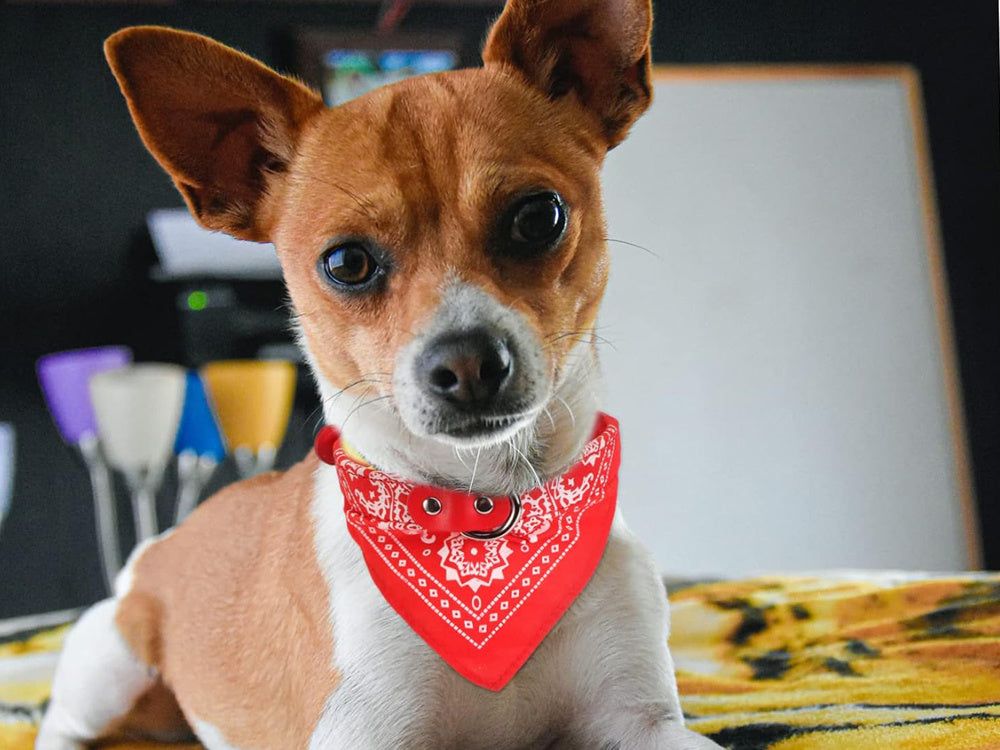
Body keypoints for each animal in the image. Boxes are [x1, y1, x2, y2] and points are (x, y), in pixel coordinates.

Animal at [37, 0, 728, 748]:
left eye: (539, 216)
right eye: (346, 263)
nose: (468, 362)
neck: (484, 509)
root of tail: (162, 544)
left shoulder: (645, 724)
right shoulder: (364, 730)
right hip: (110, 663)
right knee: (63, 722)